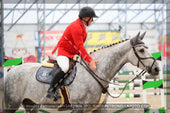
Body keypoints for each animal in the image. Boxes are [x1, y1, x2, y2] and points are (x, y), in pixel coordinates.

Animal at [2, 32, 159, 113]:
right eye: (141, 50)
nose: (156, 68)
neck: (97, 72)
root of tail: (11, 70)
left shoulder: (99, 108)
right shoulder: (78, 108)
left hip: (31, 105)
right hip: (11, 105)